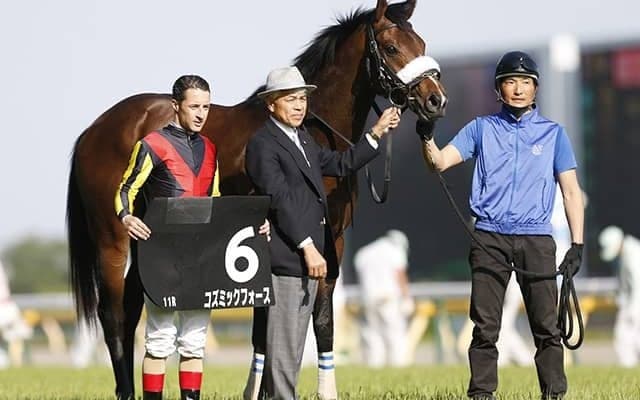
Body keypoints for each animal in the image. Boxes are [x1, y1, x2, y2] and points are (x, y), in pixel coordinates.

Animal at [66, 1, 446, 398]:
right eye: (391, 47)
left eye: (420, 43)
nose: (436, 100)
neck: (311, 129)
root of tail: (93, 130)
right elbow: (267, 324)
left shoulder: (333, 241)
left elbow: (321, 322)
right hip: (113, 238)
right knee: (112, 314)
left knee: (132, 307)